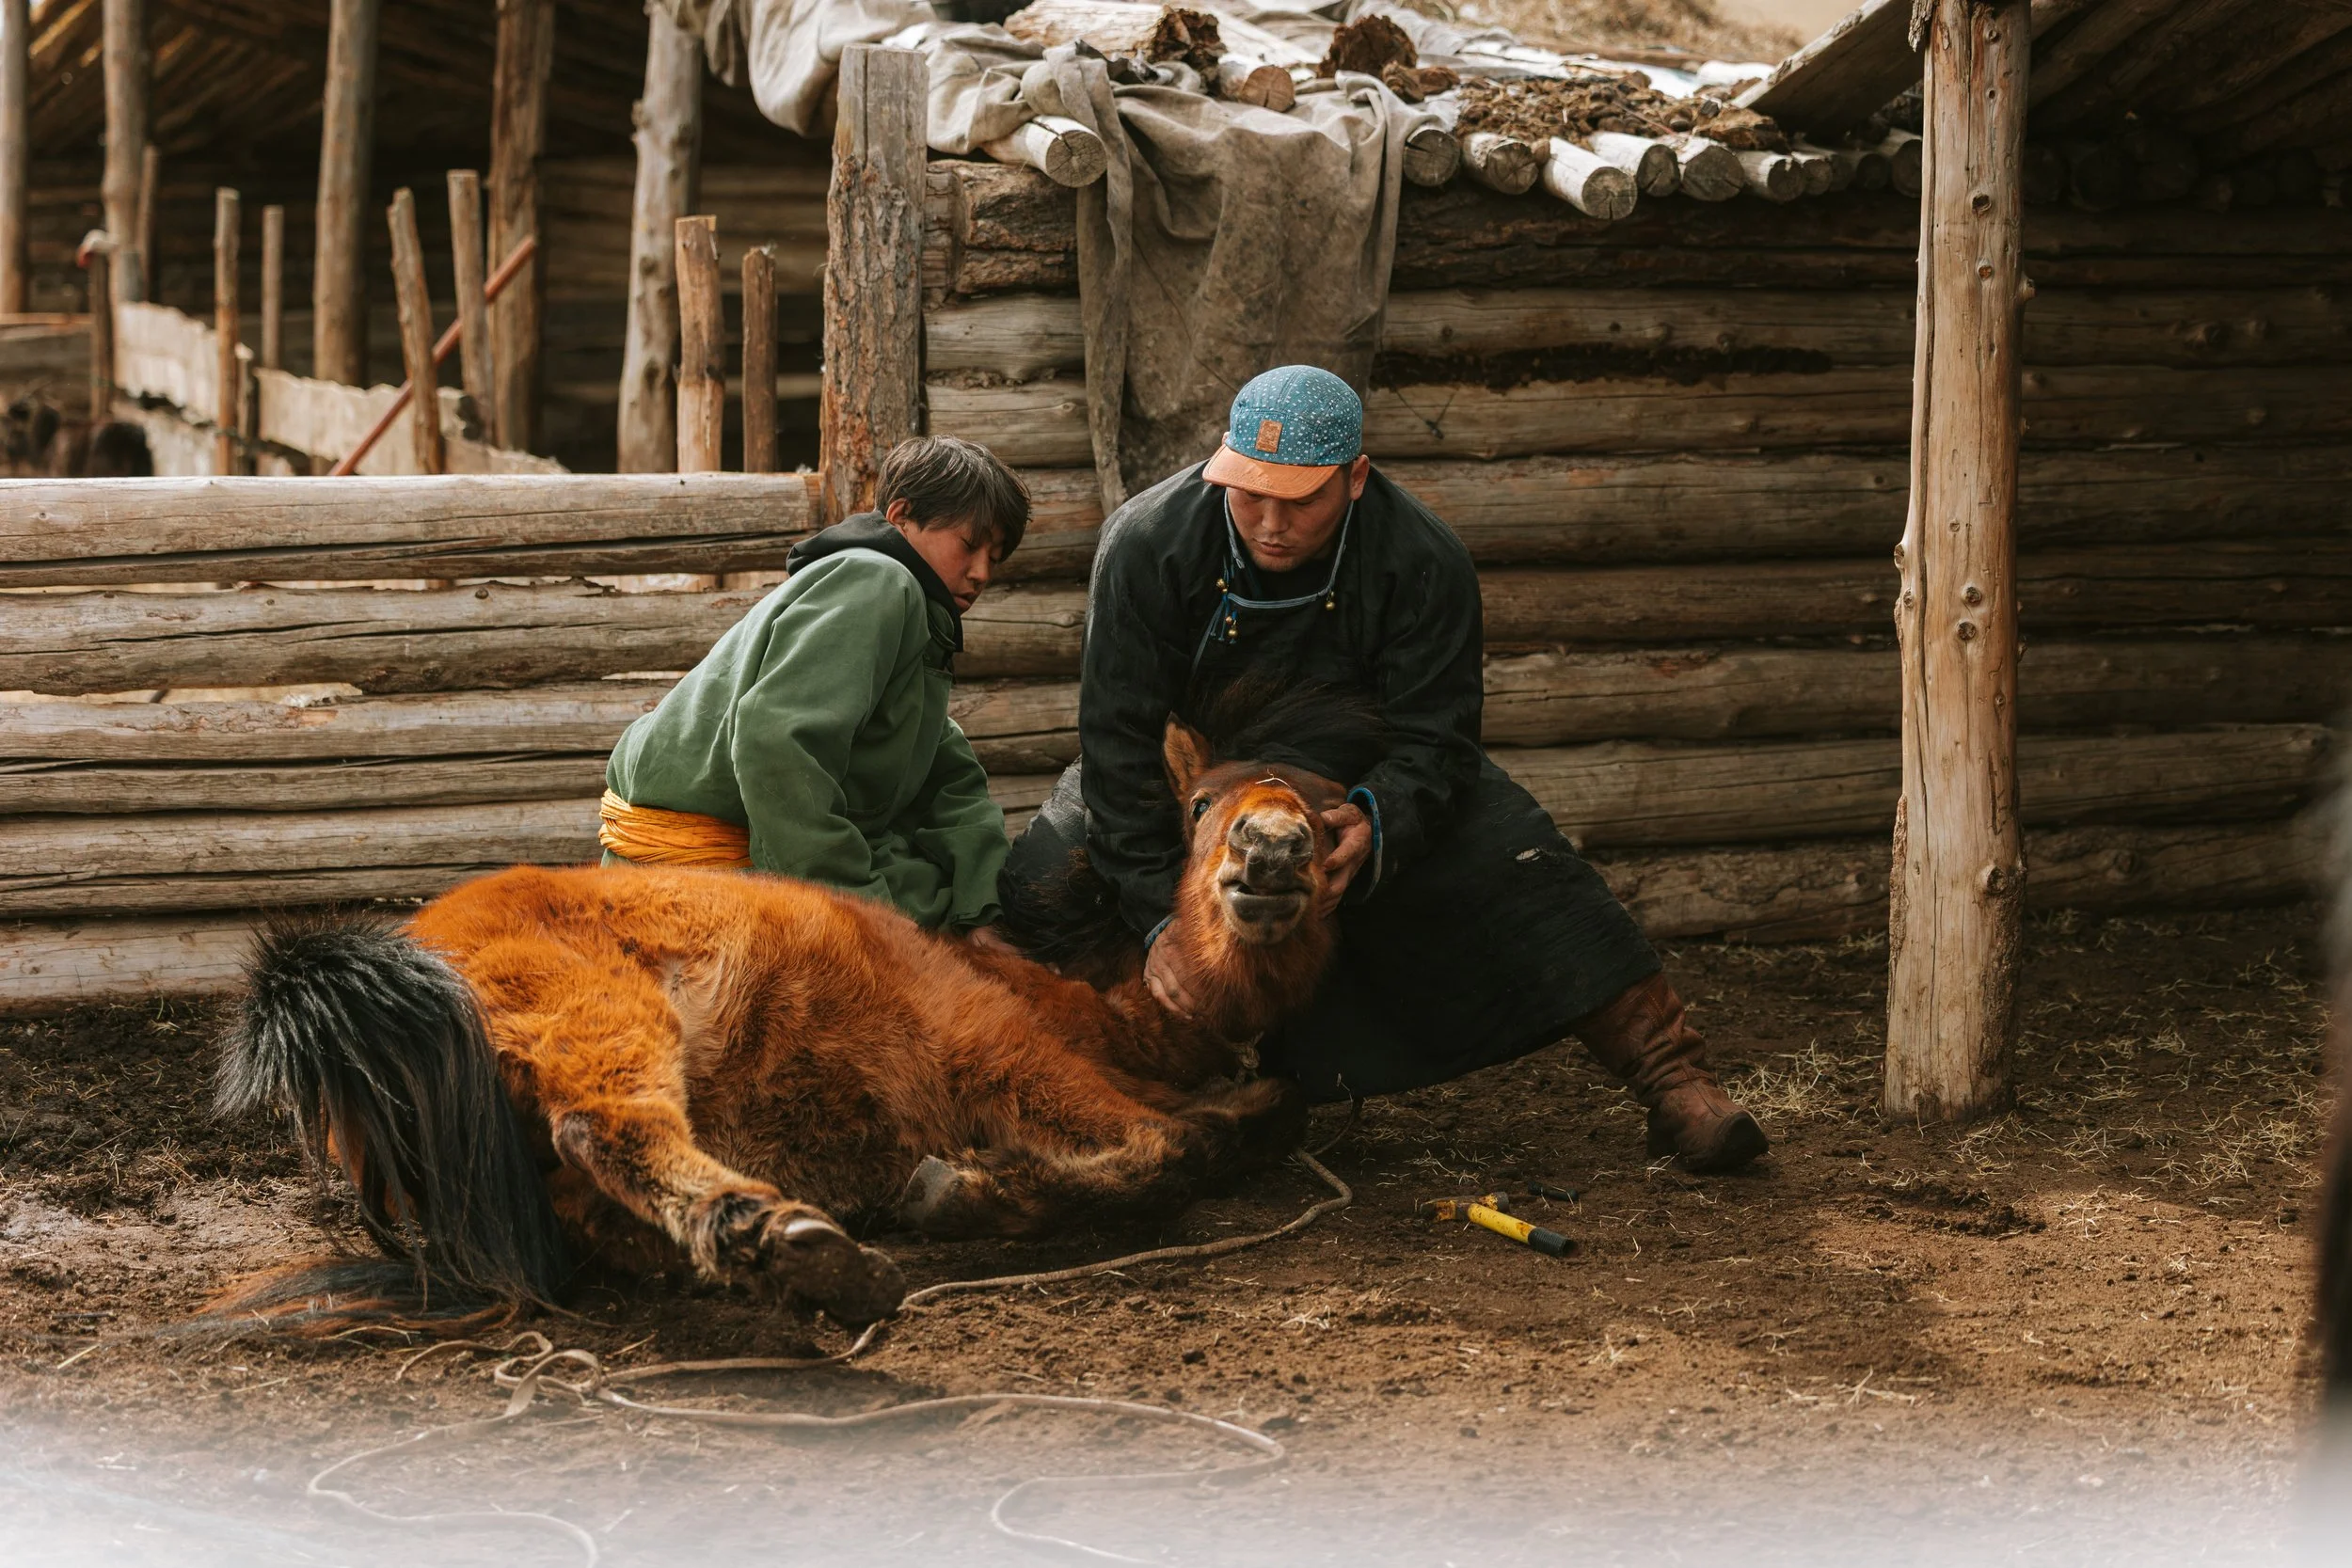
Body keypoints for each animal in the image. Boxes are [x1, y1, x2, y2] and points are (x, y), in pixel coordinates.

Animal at [217, 694, 1361, 1331]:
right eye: (1199, 804)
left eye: (1334, 814)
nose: (1271, 849)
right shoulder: (1009, 1059)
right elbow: (1168, 1151)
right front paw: (965, 1189)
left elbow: (1270, 1108)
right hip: (608, 1014)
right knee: (604, 1124)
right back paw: (798, 1241)